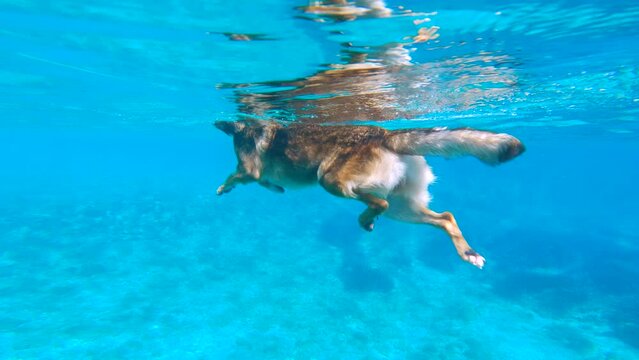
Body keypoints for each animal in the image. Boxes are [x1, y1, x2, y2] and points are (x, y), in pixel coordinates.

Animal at [215, 119, 524, 268]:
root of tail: (386, 135)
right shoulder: (256, 175)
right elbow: (264, 183)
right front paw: (276, 188)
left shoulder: (248, 171)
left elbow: (234, 177)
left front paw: (223, 188)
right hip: (405, 209)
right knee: (446, 217)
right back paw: (468, 253)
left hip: (330, 180)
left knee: (379, 203)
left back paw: (365, 219)